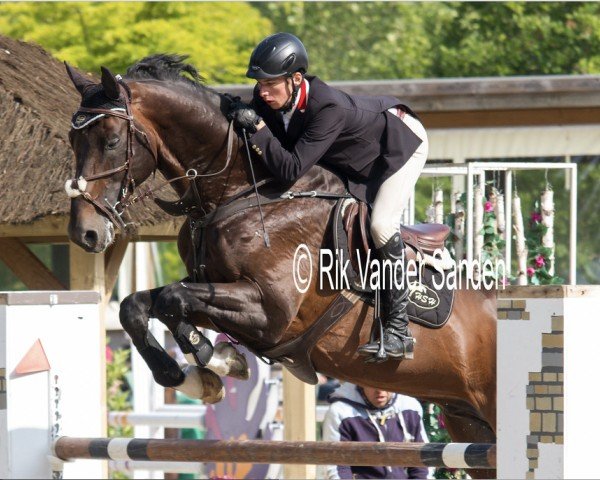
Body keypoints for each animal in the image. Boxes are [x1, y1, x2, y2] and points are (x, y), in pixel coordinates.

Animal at [64, 56, 496, 472]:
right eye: (72, 140)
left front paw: (214, 360)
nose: (84, 233)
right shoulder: (214, 285)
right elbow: (138, 306)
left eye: (112, 141)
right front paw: (198, 374)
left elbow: (173, 299)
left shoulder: (270, 311)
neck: (240, 191)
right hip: (467, 422)